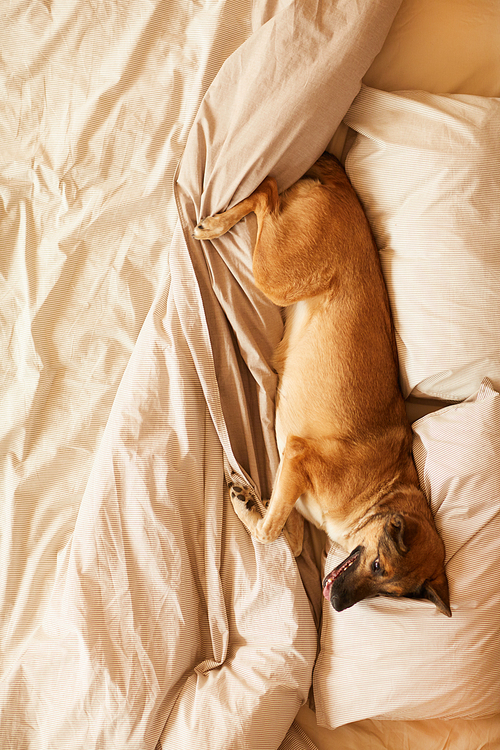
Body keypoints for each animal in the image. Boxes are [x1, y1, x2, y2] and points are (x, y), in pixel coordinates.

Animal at [193, 151, 452, 616]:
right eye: (379, 566)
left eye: (393, 593)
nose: (337, 605)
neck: (381, 494)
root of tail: (344, 186)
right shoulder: (298, 457)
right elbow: (269, 533)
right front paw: (253, 513)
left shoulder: (289, 478)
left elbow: (286, 533)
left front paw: (251, 502)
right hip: (275, 277)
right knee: (268, 190)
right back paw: (217, 224)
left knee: (271, 194)